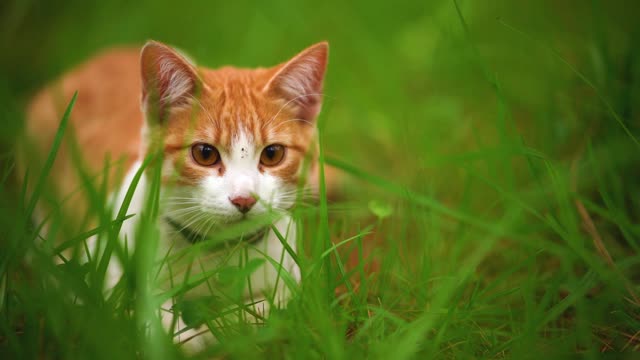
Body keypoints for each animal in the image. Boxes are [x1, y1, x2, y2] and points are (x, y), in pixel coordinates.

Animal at [20, 40, 330, 350]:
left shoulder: (292, 277)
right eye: (205, 154)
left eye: (272, 154)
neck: (217, 252)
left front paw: (224, 326)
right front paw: (183, 334)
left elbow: (268, 310)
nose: (244, 199)